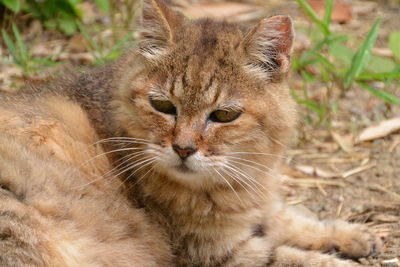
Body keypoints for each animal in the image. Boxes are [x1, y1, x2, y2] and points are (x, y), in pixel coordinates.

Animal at [0, 0, 382, 266]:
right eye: (163, 106)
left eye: (224, 115)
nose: (183, 149)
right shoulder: (213, 252)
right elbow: (287, 255)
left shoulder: (254, 202)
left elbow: (290, 218)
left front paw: (349, 234)